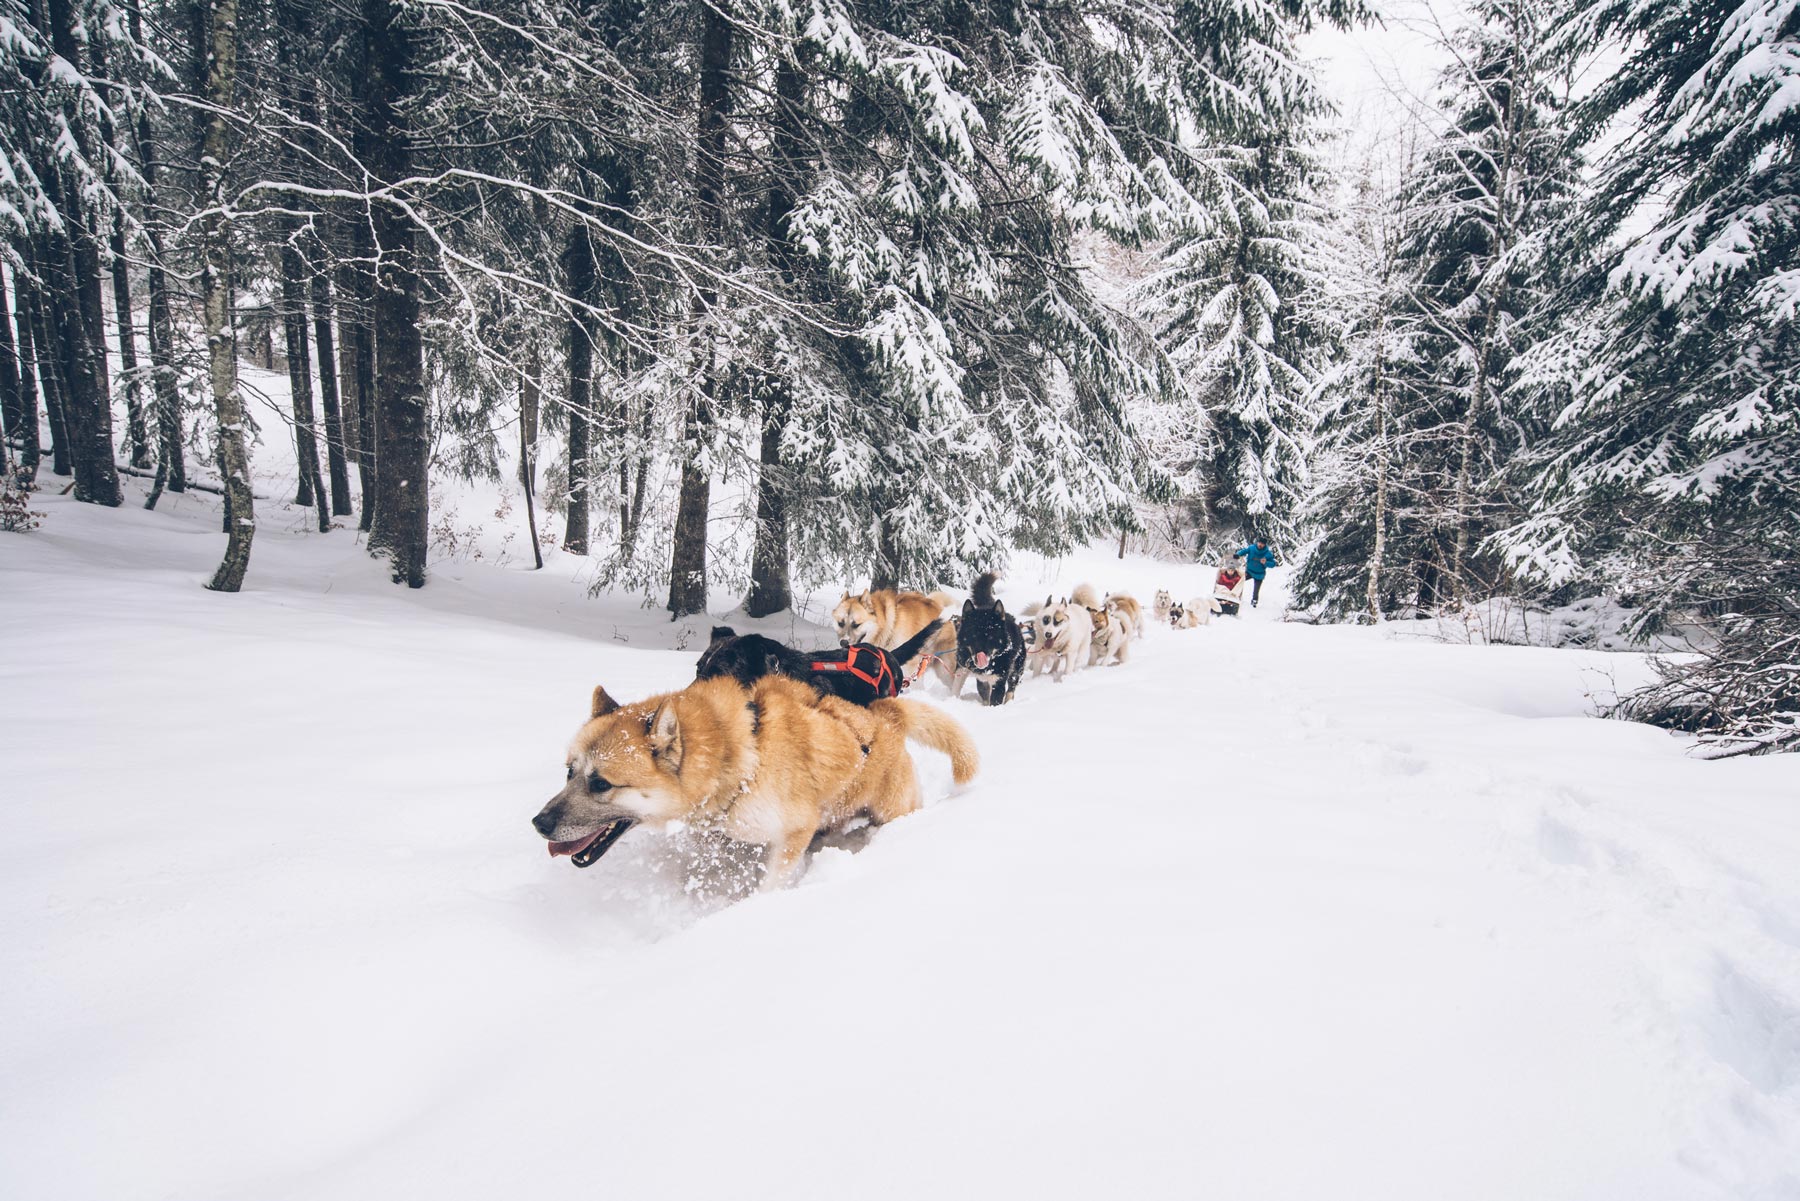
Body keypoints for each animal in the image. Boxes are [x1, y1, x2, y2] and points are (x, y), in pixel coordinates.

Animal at [950, 572, 1022, 705]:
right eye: (973, 635)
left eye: (991, 636)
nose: (980, 656)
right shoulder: (962, 667)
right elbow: (956, 688)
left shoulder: (998, 681)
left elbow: (995, 700)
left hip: (1016, 668)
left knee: (1011, 687)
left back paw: (1008, 701)